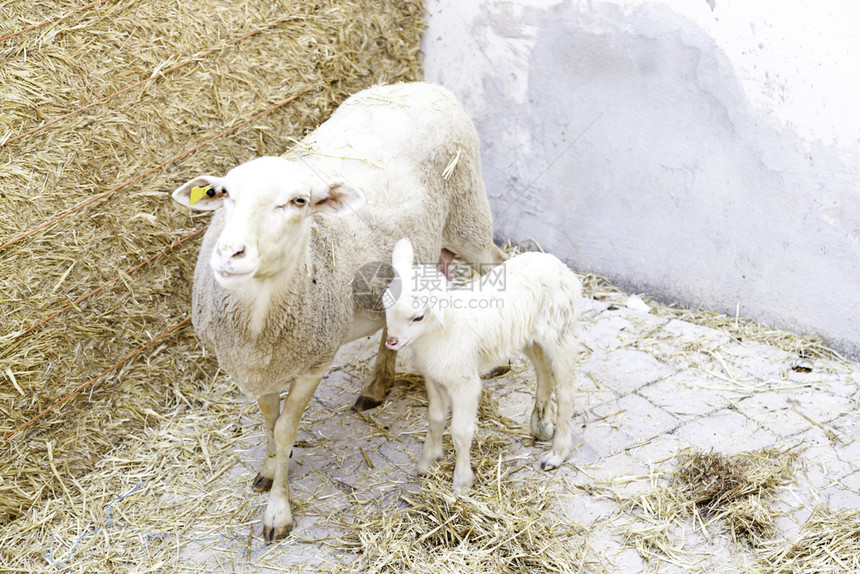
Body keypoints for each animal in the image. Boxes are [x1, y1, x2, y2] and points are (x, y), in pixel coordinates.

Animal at [384, 238, 580, 490]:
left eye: (418, 317)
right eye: (386, 305)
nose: (392, 341)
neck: (442, 330)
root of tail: (557, 264)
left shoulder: (465, 383)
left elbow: (460, 431)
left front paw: (461, 482)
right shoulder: (433, 378)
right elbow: (435, 419)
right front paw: (427, 464)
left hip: (560, 333)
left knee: (566, 391)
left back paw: (556, 454)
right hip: (528, 336)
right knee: (543, 370)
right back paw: (542, 425)